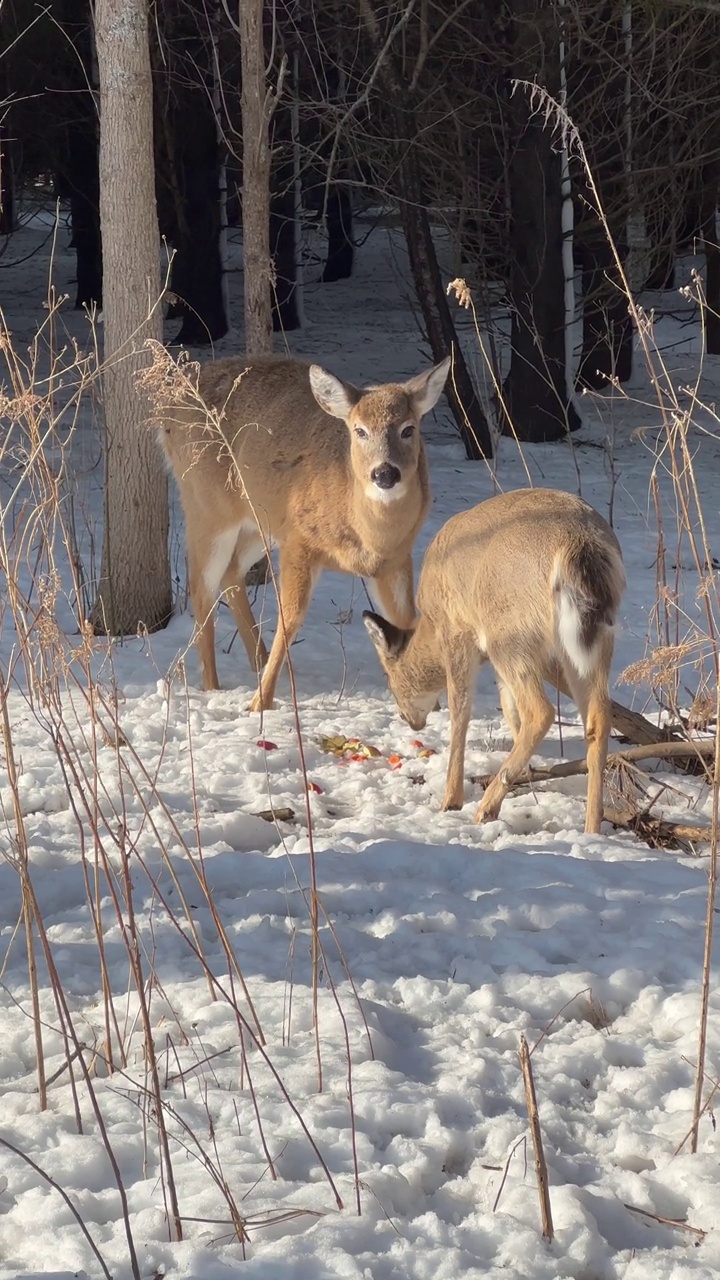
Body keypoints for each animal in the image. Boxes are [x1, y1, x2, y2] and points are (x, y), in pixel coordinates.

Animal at [161, 353, 448, 711]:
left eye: (408, 429)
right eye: (360, 430)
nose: (385, 473)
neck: (369, 535)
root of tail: (170, 410)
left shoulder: (396, 559)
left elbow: (405, 619)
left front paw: (432, 707)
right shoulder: (300, 541)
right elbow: (290, 617)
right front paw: (259, 703)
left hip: (260, 521)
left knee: (231, 572)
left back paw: (260, 660)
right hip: (207, 505)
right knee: (201, 585)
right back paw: (213, 685)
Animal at [363, 483, 622, 834]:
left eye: (388, 678)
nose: (409, 719)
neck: (429, 623)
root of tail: (578, 545)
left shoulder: (458, 632)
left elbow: (461, 709)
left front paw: (451, 800)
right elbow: (508, 709)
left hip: (509, 631)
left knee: (540, 711)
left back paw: (485, 808)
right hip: (589, 640)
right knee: (596, 717)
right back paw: (591, 827)